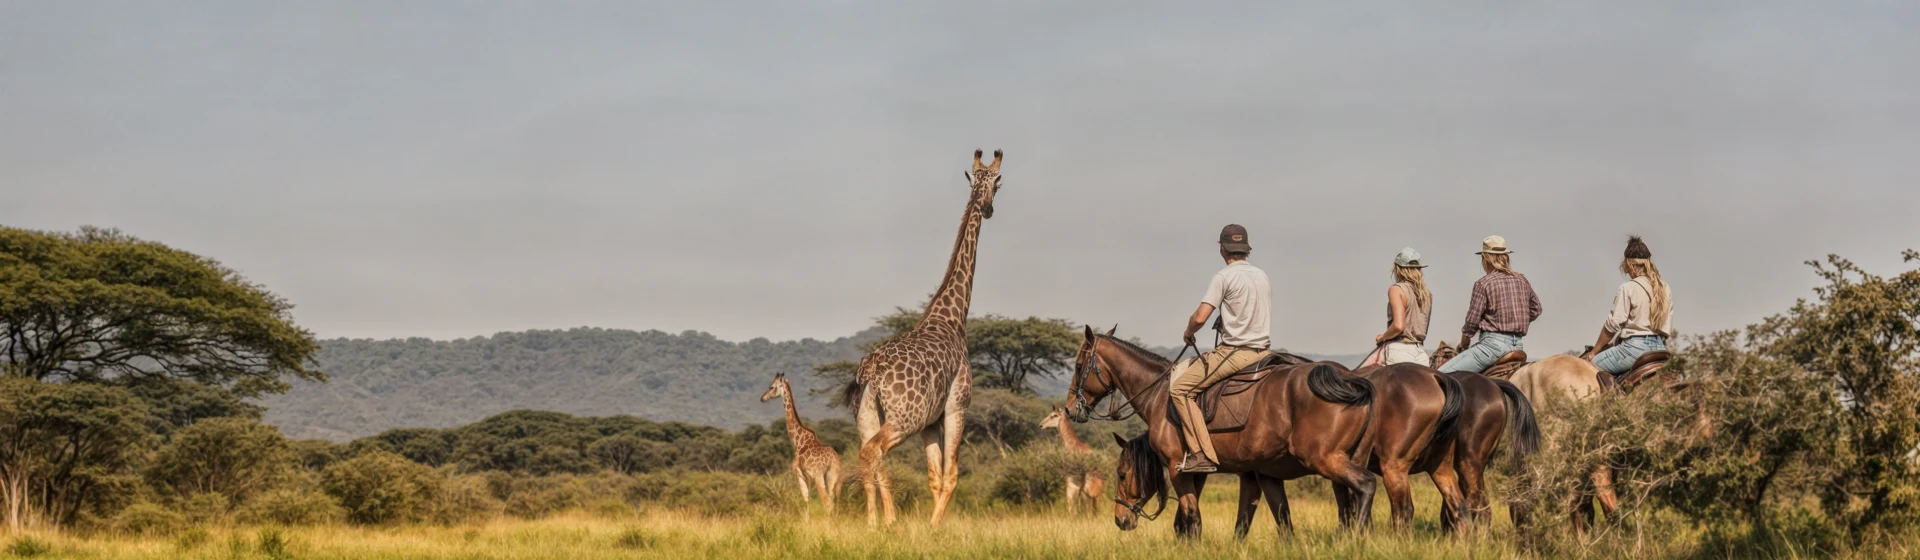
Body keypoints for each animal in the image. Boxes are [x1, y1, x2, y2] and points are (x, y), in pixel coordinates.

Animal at [1066, 326, 1377, 540]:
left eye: (1079, 367)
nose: (1071, 409)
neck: (1159, 394)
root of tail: (1350, 379)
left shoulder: (1180, 470)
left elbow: (1192, 520)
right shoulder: (1245, 474)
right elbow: (1256, 522)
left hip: (1325, 459)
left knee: (1366, 485)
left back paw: (1356, 540)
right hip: (1348, 459)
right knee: (1348, 503)